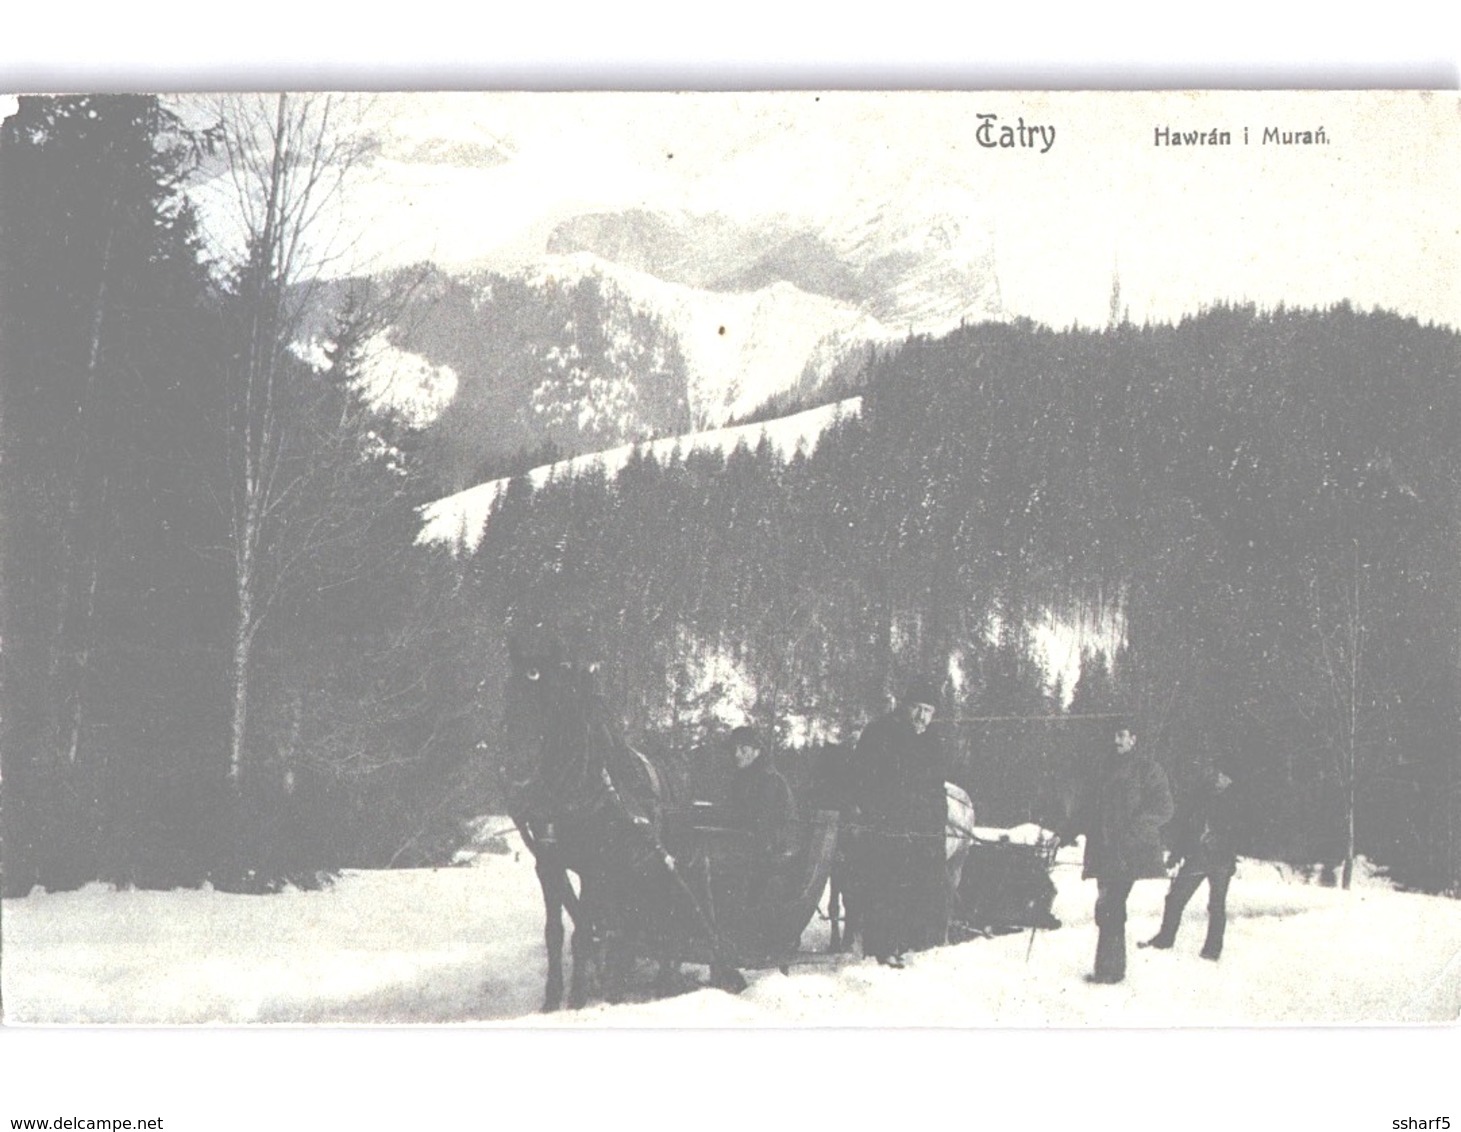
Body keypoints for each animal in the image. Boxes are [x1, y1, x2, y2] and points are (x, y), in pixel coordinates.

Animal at [502, 636, 748, 1010]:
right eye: (509, 693)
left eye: (552, 700)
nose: (517, 777)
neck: (582, 785)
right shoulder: (549, 865)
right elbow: (556, 933)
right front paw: (551, 1000)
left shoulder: (595, 868)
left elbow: (583, 932)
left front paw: (577, 999)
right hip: (634, 873)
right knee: (633, 928)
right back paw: (622, 984)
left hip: (667, 871)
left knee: (672, 923)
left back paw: (665, 983)